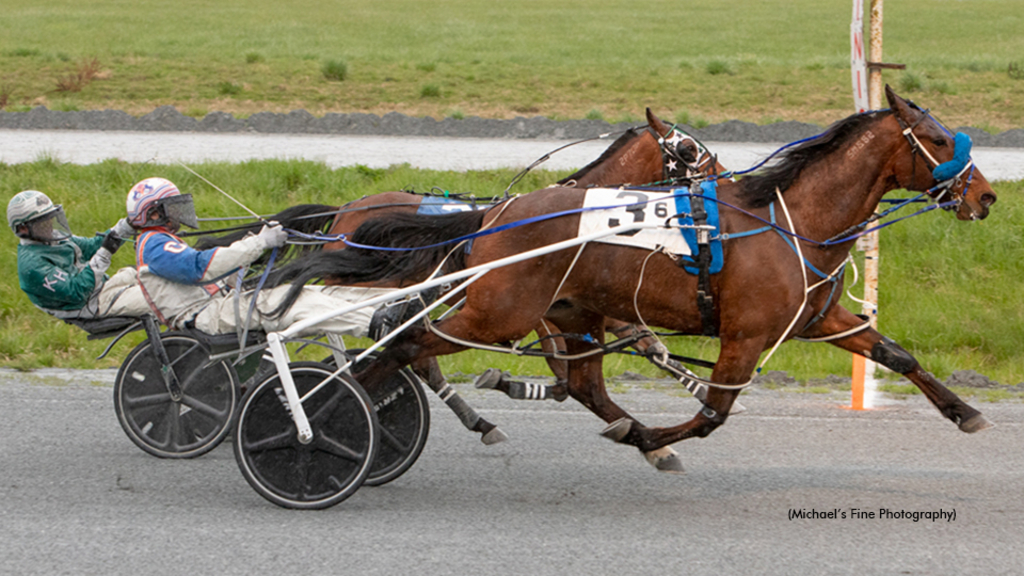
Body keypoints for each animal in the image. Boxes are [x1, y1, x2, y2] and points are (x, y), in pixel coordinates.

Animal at [270, 86, 999, 471]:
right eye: (938, 139)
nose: (987, 196)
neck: (790, 222)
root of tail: (496, 212)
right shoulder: (746, 334)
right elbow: (712, 412)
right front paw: (656, 437)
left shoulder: (819, 319)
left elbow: (897, 355)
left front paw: (964, 411)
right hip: (498, 312)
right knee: (402, 343)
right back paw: (321, 420)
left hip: (571, 314)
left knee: (580, 383)